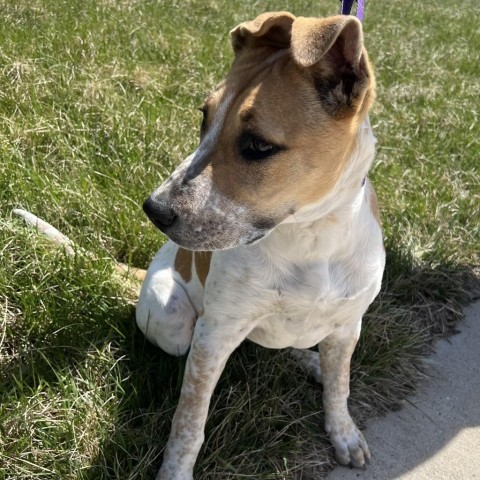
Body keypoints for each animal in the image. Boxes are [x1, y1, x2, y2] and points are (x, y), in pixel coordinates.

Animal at [137, 10, 384, 480]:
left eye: (258, 145)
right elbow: (189, 422)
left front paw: (343, 434)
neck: (311, 238)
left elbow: (340, 388)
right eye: (204, 117)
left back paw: (313, 363)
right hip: (175, 325)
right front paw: (175, 472)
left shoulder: (349, 325)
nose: (153, 210)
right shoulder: (214, 335)